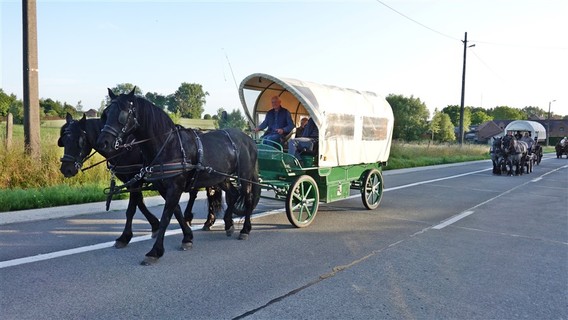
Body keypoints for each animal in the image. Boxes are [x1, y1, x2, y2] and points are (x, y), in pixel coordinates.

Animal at [57, 114, 222, 249]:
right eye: (63, 141)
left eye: (79, 141)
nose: (66, 169)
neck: (124, 148)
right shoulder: (134, 180)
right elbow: (142, 203)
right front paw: (155, 225)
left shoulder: (136, 178)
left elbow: (132, 208)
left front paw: (125, 237)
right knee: (202, 192)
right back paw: (202, 219)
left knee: (207, 192)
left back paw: (206, 220)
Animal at [95, 88, 260, 264]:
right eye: (106, 114)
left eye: (123, 114)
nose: (102, 142)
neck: (168, 145)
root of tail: (248, 139)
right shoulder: (162, 187)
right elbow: (176, 211)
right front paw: (187, 237)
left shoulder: (174, 186)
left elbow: (166, 216)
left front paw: (155, 251)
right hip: (221, 177)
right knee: (233, 194)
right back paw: (228, 224)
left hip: (245, 176)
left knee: (248, 199)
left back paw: (245, 229)